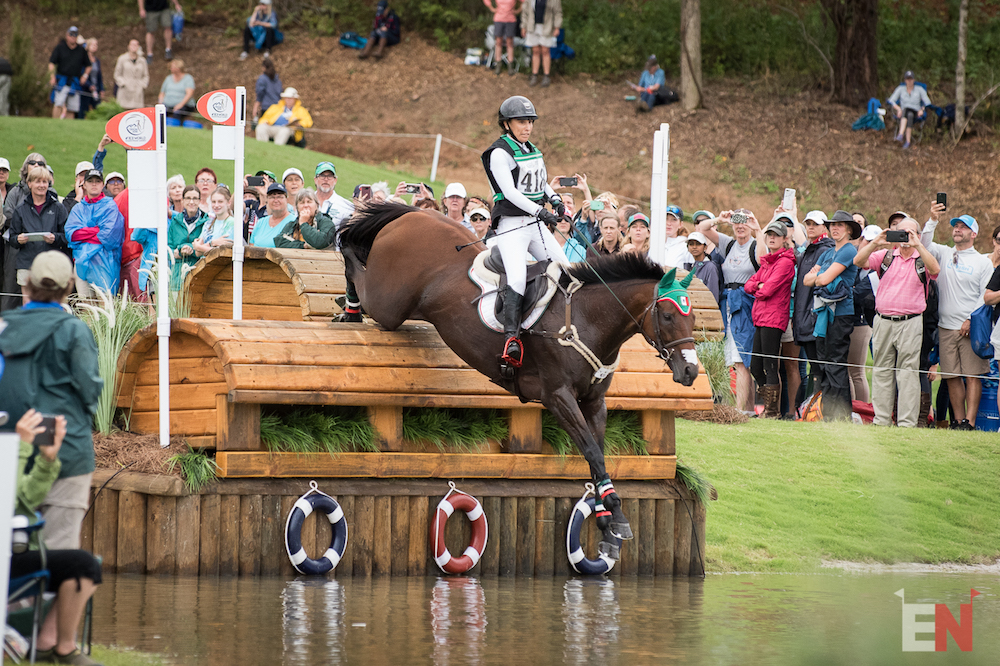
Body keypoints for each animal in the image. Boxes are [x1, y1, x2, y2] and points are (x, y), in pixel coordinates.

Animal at [340, 201, 700, 556]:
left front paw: (606, 520)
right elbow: (592, 451)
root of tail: (414, 214)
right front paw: (615, 517)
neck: (587, 318)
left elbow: (596, 455)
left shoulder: (593, 402)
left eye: (692, 317)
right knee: (354, 260)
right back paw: (350, 304)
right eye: (668, 316)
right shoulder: (558, 397)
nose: (691, 371)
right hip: (388, 303)